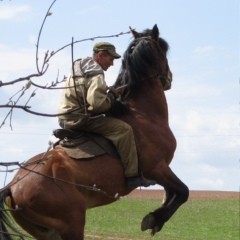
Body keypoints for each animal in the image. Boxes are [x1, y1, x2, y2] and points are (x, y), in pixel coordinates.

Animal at [0, 24, 189, 240]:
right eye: (163, 50)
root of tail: (12, 185)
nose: (169, 79)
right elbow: (183, 191)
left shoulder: (162, 170)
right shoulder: (157, 168)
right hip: (73, 222)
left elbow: (173, 193)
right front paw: (155, 219)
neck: (142, 113)